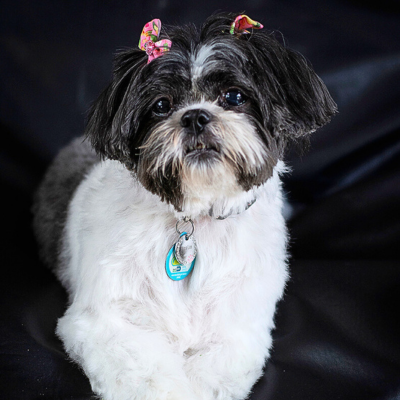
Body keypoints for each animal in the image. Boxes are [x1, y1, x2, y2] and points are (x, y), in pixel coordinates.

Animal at [32, 12, 336, 400]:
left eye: (234, 96)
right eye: (162, 105)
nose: (195, 116)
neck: (196, 215)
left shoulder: (237, 331)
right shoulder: (105, 323)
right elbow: (149, 376)